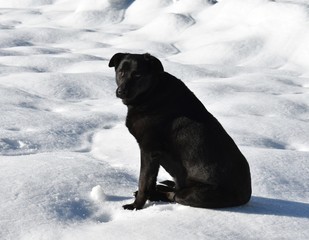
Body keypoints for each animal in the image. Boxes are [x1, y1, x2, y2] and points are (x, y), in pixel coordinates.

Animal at [108, 53, 250, 210]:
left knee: (175, 195)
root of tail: (246, 196)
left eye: (138, 75)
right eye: (121, 72)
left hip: (194, 194)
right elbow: (150, 181)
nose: (121, 91)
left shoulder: (149, 150)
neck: (152, 91)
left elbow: (144, 182)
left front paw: (135, 206)